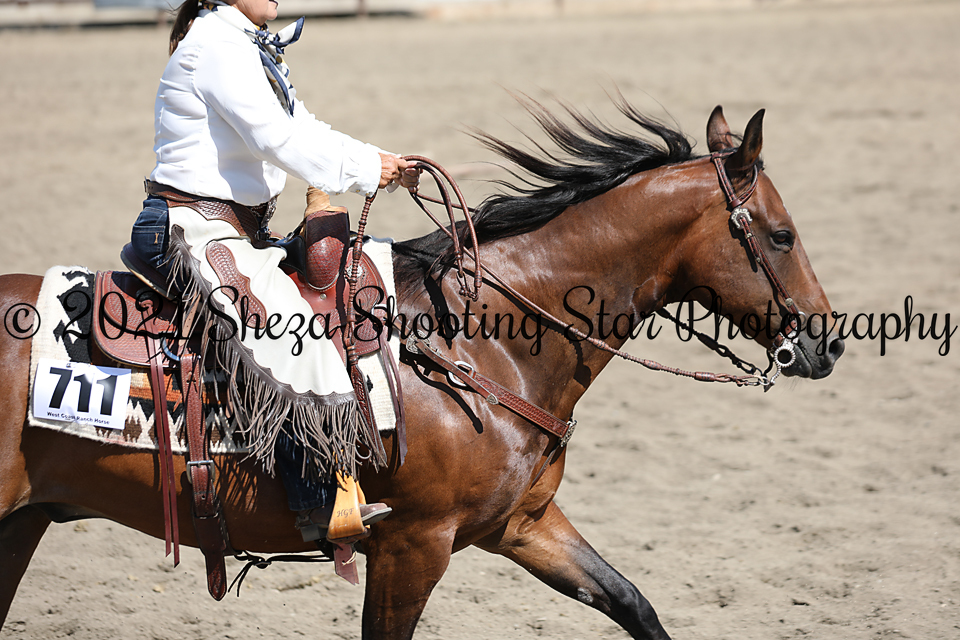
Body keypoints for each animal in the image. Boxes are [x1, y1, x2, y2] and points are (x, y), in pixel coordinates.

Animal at [0, 101, 844, 639]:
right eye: (780, 234)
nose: (828, 342)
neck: (477, 345)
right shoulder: (413, 546)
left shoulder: (523, 525)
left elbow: (631, 602)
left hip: (21, 524)